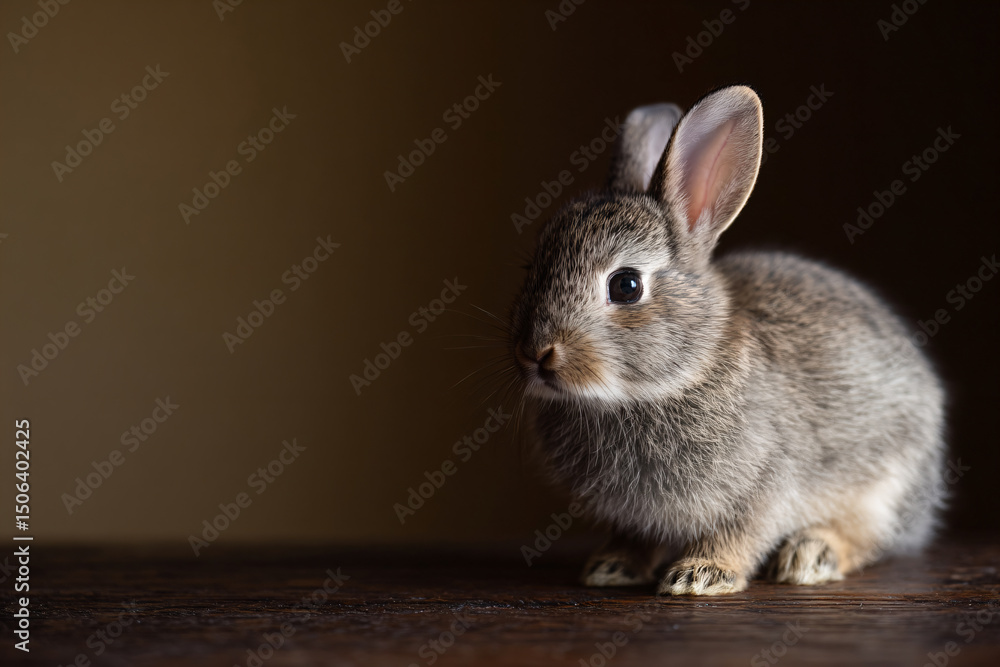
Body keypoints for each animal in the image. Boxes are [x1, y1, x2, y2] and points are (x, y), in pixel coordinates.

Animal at [508, 85, 947, 595]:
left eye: (626, 286)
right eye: (533, 270)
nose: (535, 354)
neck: (679, 375)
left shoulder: (766, 483)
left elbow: (742, 532)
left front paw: (701, 575)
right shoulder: (636, 517)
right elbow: (635, 539)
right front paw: (611, 567)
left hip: (885, 489)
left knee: (869, 538)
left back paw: (809, 555)